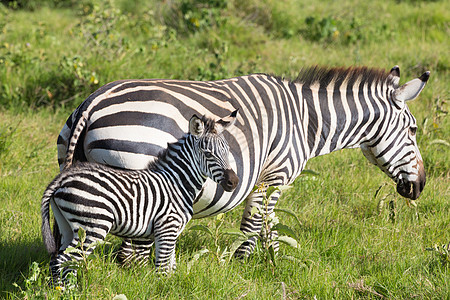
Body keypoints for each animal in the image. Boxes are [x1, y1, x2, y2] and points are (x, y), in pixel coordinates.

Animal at [40, 110, 239, 284]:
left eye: (228, 150)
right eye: (208, 153)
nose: (234, 182)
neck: (177, 182)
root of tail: (62, 178)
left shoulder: (172, 232)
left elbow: (172, 268)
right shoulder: (166, 228)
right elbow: (163, 270)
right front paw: (163, 289)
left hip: (67, 226)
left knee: (58, 259)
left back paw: (58, 290)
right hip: (92, 226)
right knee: (66, 260)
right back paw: (68, 292)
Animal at [58, 65, 430, 258]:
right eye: (413, 130)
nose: (420, 187)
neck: (306, 120)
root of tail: (93, 102)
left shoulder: (261, 178)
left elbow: (265, 224)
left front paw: (268, 262)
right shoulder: (275, 175)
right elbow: (257, 223)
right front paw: (248, 264)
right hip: (135, 186)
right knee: (129, 251)